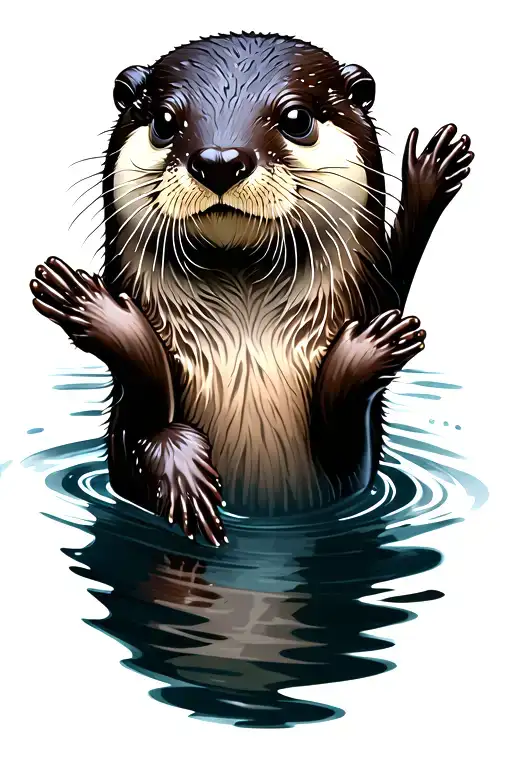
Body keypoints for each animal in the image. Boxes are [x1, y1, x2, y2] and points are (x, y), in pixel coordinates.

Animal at [30, 33, 473, 546]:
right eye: (164, 122)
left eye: (296, 119)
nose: (220, 160)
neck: (247, 353)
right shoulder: (123, 443)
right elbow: (143, 420)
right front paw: (90, 307)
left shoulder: (356, 467)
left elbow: (348, 430)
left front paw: (373, 346)